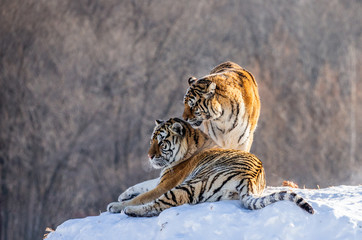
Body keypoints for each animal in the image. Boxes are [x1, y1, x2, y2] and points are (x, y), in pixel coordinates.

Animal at [107, 118, 314, 218]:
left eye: (162, 142)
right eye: (151, 140)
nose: (149, 156)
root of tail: (249, 178)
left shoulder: (166, 183)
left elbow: (143, 195)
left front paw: (118, 203)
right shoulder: (163, 178)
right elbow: (143, 184)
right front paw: (123, 194)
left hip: (191, 183)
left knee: (161, 204)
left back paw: (128, 210)